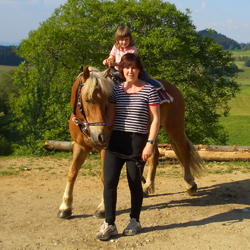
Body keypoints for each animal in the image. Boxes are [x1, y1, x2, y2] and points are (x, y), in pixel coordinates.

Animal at [57, 66, 206, 219]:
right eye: (87, 99)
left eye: (107, 100)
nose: (101, 135)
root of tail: (174, 88)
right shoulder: (80, 146)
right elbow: (72, 173)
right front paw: (65, 207)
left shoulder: (106, 150)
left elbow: (106, 177)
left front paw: (102, 208)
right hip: (151, 133)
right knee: (154, 156)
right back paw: (147, 187)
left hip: (175, 128)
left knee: (183, 150)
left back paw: (190, 184)